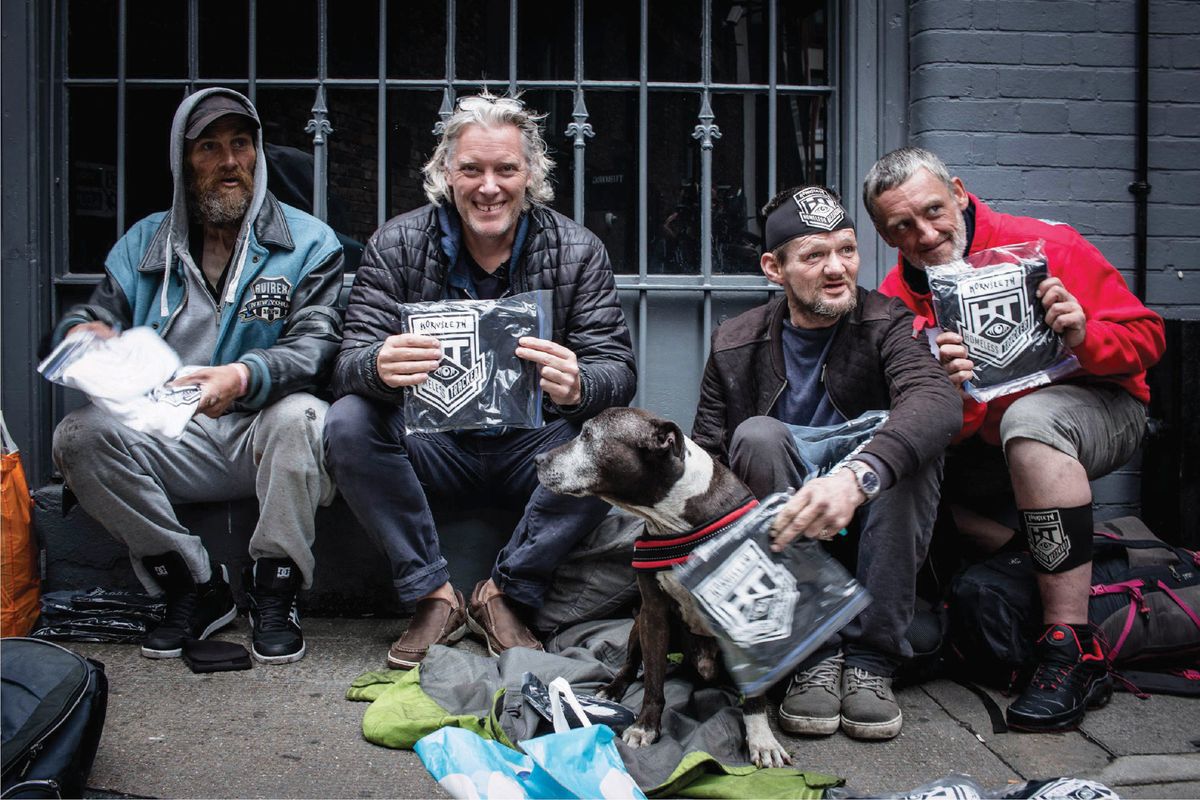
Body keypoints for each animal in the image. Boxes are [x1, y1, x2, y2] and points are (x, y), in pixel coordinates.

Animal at [540, 407, 792, 767]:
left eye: (587, 435)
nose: (538, 459)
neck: (675, 518)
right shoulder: (654, 613)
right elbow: (654, 681)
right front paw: (645, 726)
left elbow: (754, 694)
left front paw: (761, 738)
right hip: (638, 625)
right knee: (632, 665)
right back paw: (613, 688)